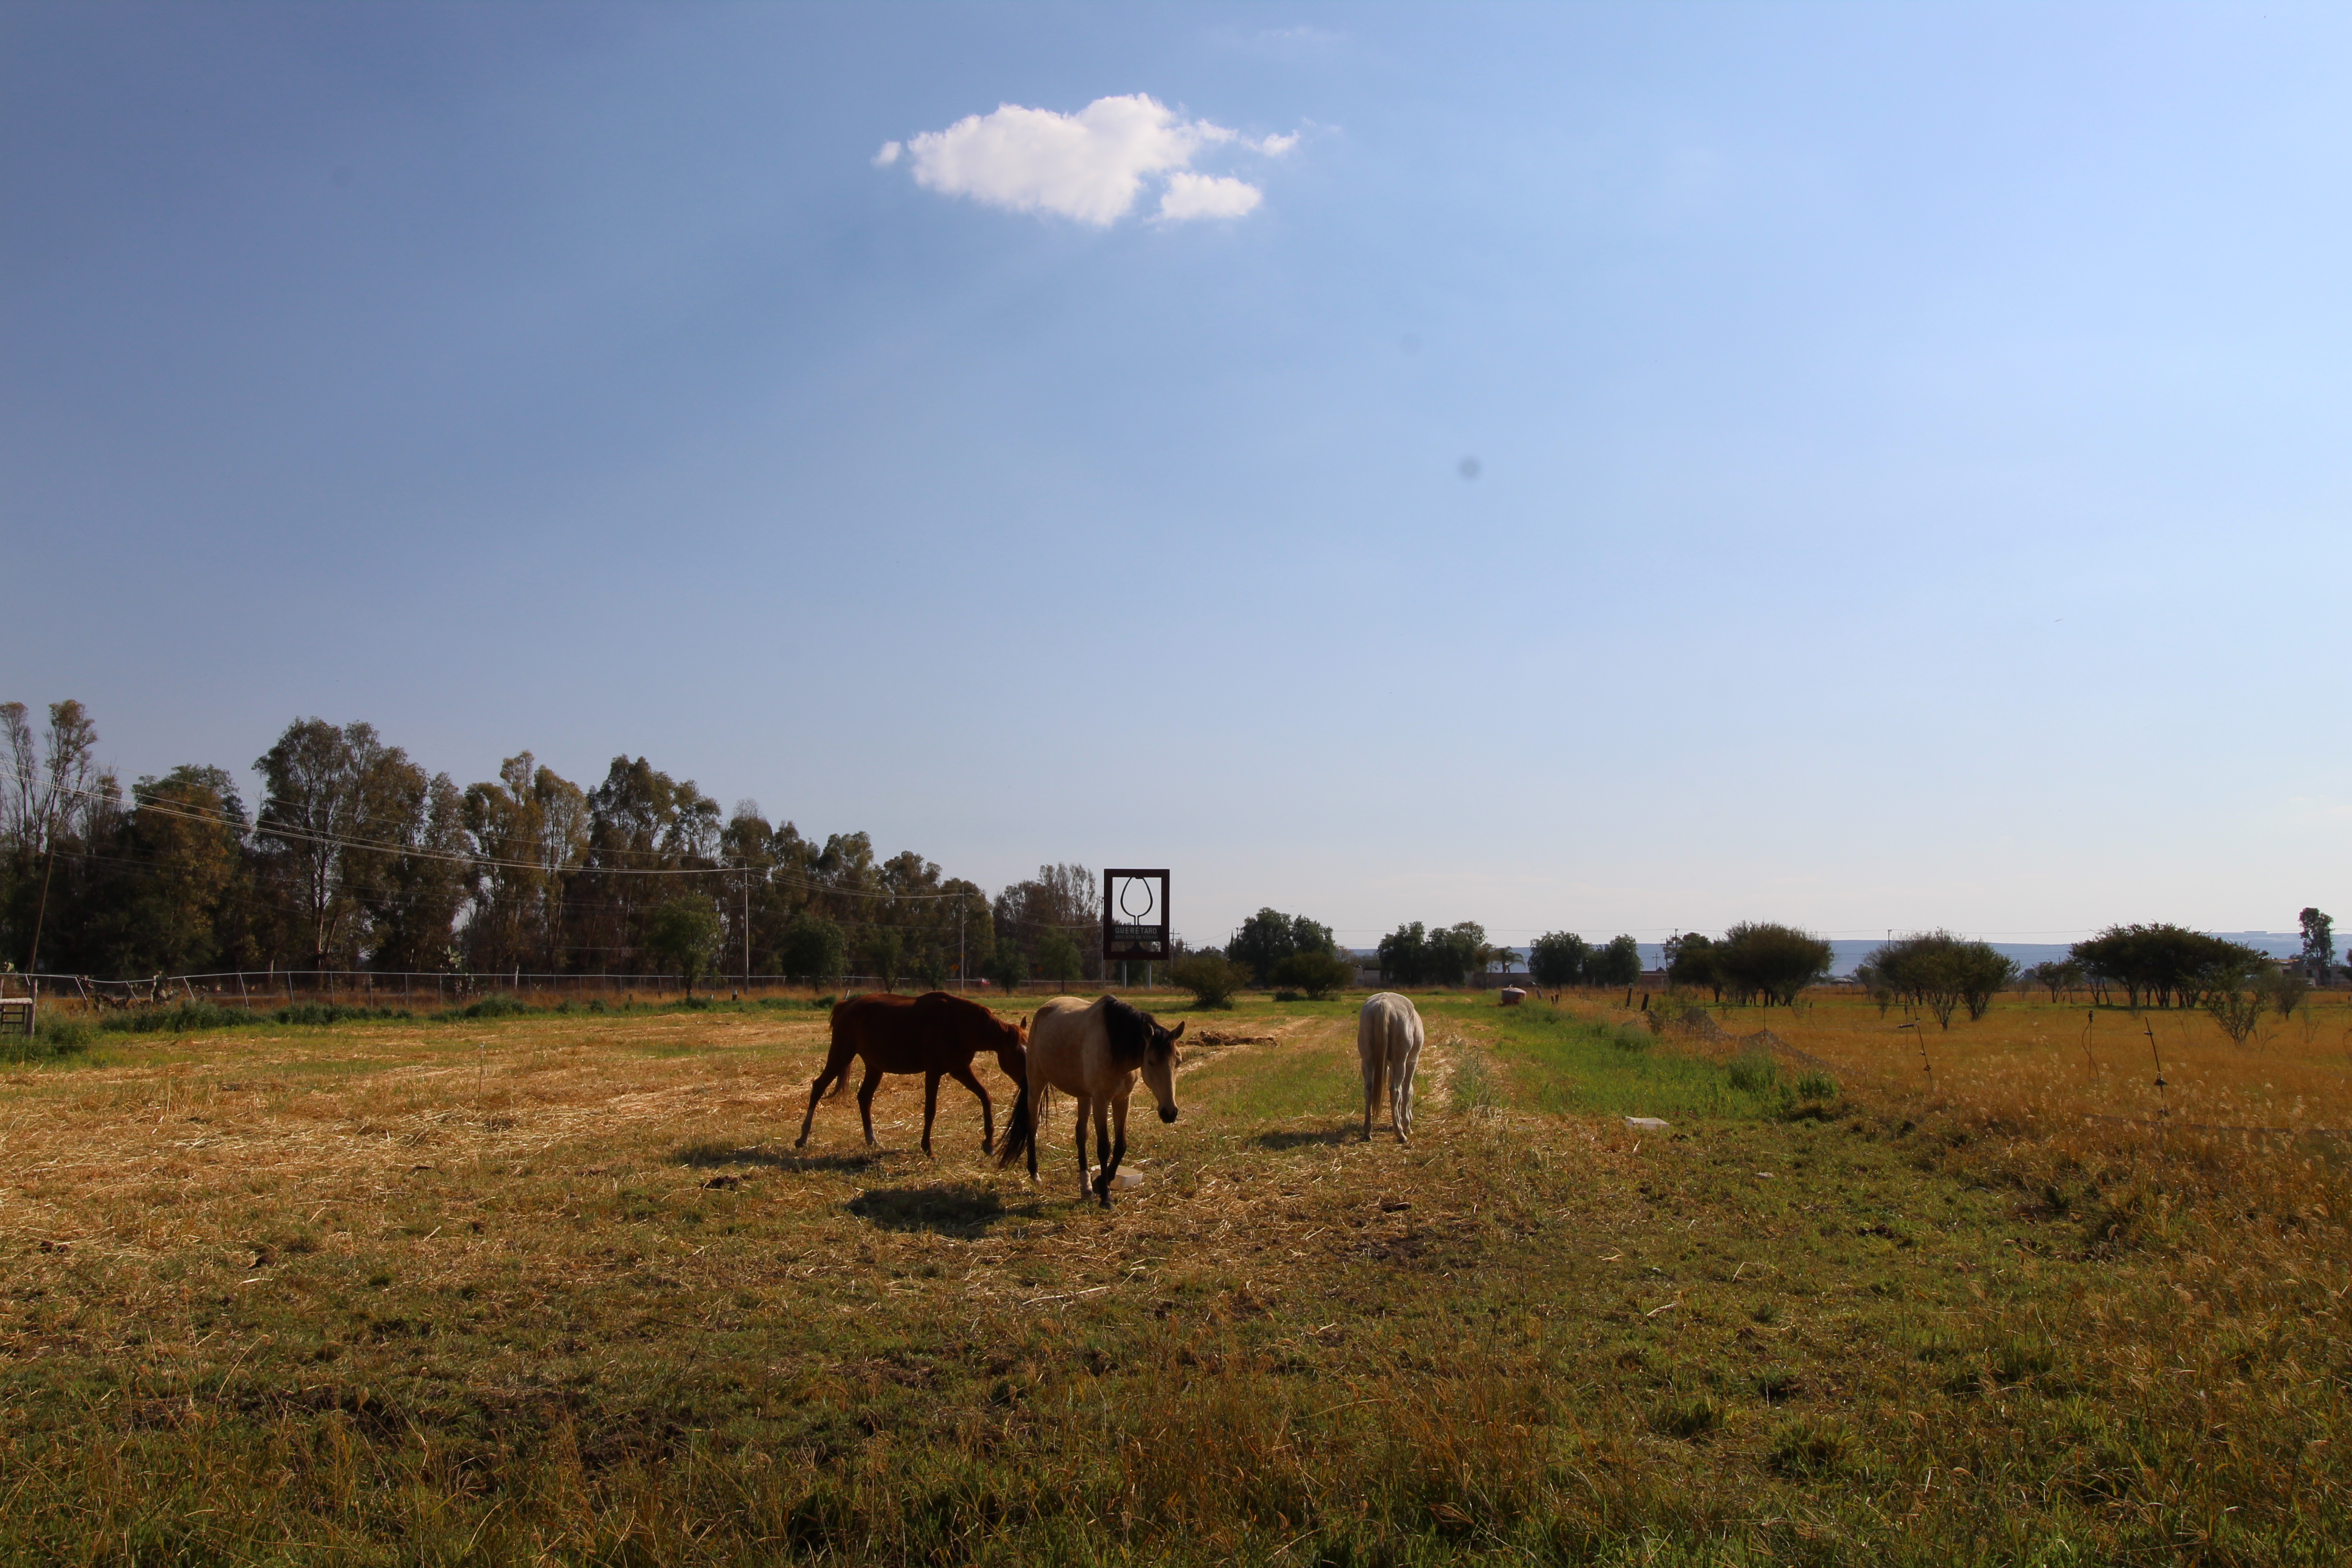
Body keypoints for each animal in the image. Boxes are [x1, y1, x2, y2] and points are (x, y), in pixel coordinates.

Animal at [795, 991, 1029, 1156]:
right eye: (1016, 1054)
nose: (1027, 1084)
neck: (957, 1023)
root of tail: (847, 1005)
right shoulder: (934, 1072)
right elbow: (931, 1110)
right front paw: (928, 1149)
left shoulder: (960, 1070)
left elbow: (985, 1097)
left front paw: (989, 1143)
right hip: (841, 1054)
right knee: (819, 1087)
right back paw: (803, 1138)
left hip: (874, 1067)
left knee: (864, 1098)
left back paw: (872, 1139)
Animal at [997, 994, 1182, 1207]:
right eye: (1151, 1062)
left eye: (1179, 1062)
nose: (1169, 1113)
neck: (1115, 1045)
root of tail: (1044, 1009)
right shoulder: (1101, 1100)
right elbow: (1104, 1147)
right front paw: (1106, 1197)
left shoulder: (1122, 1099)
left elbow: (1121, 1145)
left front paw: (1102, 1181)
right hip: (1037, 1085)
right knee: (1032, 1125)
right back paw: (1035, 1174)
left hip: (1084, 1096)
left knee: (1081, 1134)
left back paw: (1085, 1186)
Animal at [1357, 991, 1424, 1144]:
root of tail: (1384, 1004)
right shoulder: (1411, 1062)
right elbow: (1407, 1091)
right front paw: (1406, 1123)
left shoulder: (1390, 1066)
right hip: (1401, 1062)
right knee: (1395, 1091)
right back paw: (1401, 1134)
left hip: (1368, 1061)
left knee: (1369, 1090)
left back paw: (1367, 1132)